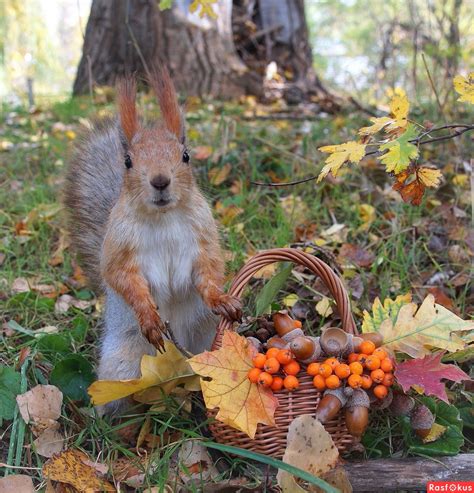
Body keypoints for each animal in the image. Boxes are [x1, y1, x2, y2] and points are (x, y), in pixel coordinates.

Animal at [63, 69, 241, 412]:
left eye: (185, 156)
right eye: (128, 161)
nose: (160, 181)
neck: (163, 218)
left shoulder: (203, 237)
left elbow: (208, 271)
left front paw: (221, 300)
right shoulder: (118, 246)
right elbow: (122, 278)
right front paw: (148, 316)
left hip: (210, 342)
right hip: (122, 365)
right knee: (118, 398)